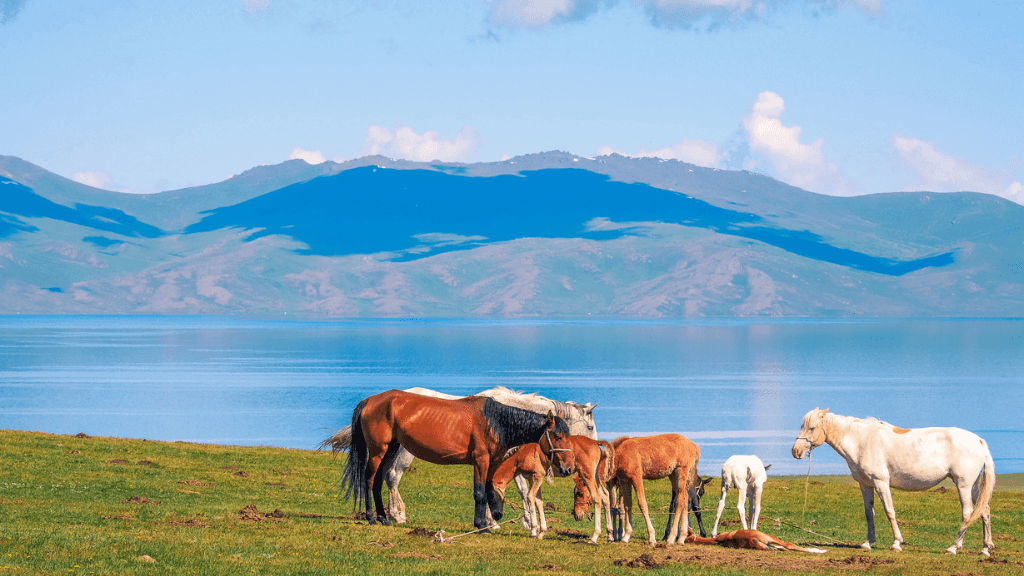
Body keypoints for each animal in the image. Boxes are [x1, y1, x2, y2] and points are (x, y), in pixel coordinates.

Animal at [322, 385, 597, 524]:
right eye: (590, 426)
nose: (571, 467)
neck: (501, 419)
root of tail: (370, 400)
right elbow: (507, 489)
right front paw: (511, 521)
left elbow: (496, 489)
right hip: (391, 451)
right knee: (382, 477)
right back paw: (388, 516)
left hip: (391, 448)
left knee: (381, 479)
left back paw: (386, 516)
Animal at [792, 407, 995, 556]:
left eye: (812, 428)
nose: (796, 451)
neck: (861, 441)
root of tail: (978, 440)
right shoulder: (865, 485)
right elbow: (869, 513)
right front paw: (868, 543)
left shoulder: (881, 482)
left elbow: (890, 512)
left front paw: (897, 543)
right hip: (973, 487)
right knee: (984, 511)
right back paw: (985, 549)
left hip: (963, 485)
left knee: (968, 513)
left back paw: (953, 547)